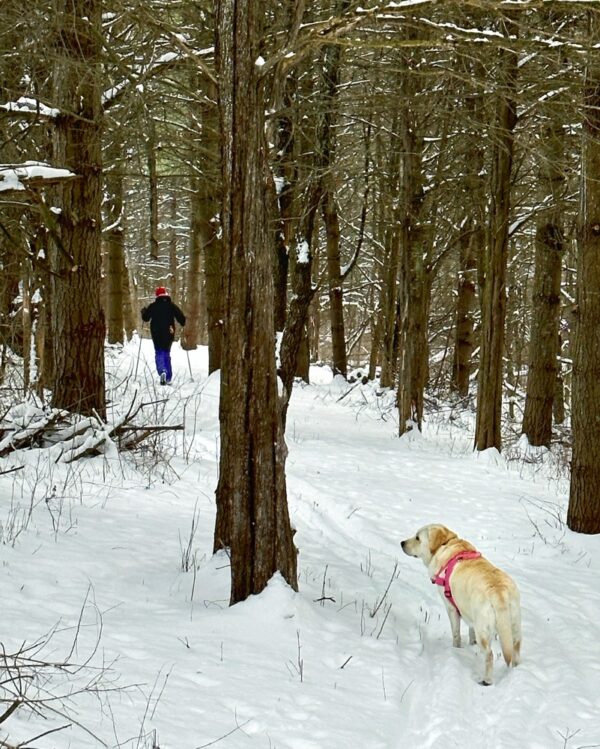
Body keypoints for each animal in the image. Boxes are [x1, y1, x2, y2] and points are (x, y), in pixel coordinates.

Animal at [404, 524, 520, 688]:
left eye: (417, 538)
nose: (401, 543)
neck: (445, 545)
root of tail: (498, 591)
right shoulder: (468, 611)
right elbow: (470, 630)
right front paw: (471, 643)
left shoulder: (451, 607)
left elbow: (456, 633)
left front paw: (456, 649)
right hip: (514, 625)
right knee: (515, 648)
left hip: (483, 629)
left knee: (489, 655)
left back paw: (486, 680)